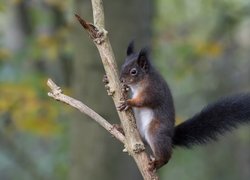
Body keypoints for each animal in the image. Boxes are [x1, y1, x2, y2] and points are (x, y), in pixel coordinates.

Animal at [118, 41, 250, 171]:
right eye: (122, 66)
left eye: (133, 71)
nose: (120, 80)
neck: (143, 80)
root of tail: (171, 136)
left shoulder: (154, 90)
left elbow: (146, 100)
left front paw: (129, 102)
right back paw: (121, 130)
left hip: (156, 131)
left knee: (166, 155)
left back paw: (157, 163)